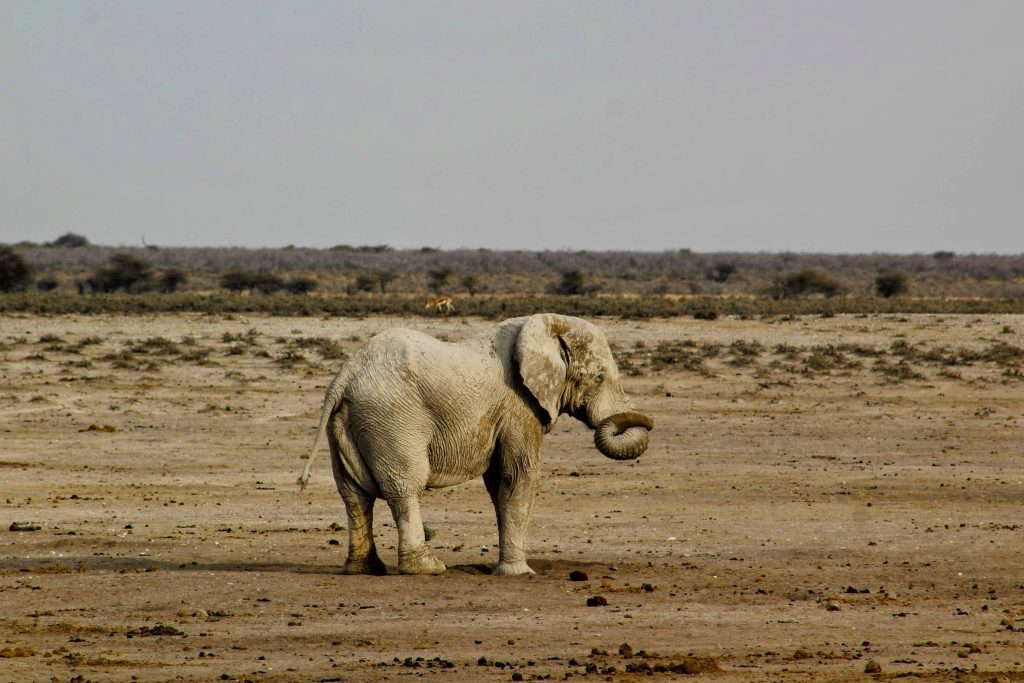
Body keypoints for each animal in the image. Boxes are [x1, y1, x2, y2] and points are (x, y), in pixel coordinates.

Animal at [296, 315, 651, 577]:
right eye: (600, 377)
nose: (645, 421)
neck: (545, 325)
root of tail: (345, 375)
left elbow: (499, 483)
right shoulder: (519, 406)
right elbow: (520, 476)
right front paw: (519, 574)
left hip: (346, 422)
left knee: (353, 493)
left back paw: (365, 569)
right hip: (391, 419)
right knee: (405, 487)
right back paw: (428, 568)